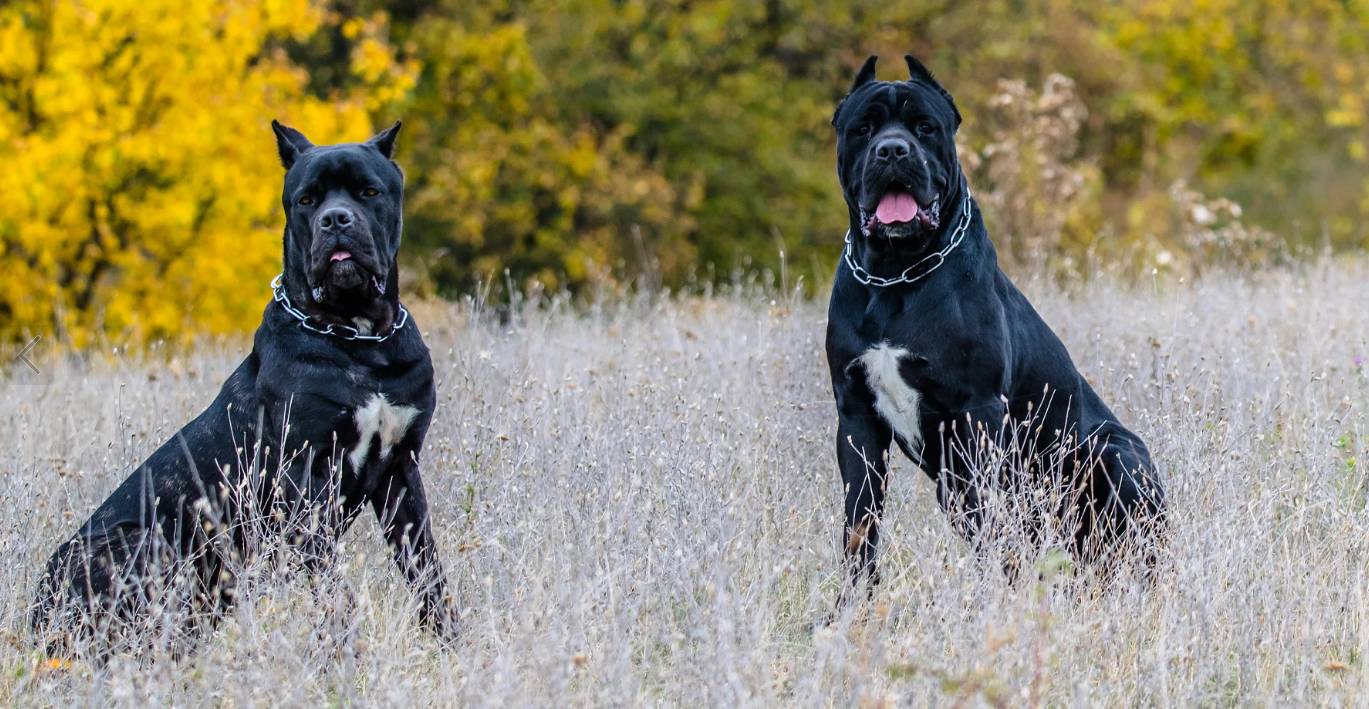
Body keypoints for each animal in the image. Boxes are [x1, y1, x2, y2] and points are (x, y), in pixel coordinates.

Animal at [32, 119, 457, 654]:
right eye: (306, 199)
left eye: (368, 191)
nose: (335, 220)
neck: (357, 336)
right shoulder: (305, 478)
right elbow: (330, 585)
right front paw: (342, 653)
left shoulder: (401, 468)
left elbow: (426, 569)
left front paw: (451, 643)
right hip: (138, 543)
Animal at [821, 55, 1166, 602]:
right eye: (864, 128)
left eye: (925, 127)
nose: (893, 150)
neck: (897, 271)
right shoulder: (856, 417)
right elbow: (859, 525)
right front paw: (852, 607)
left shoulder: (976, 411)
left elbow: (990, 525)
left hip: (1118, 456)